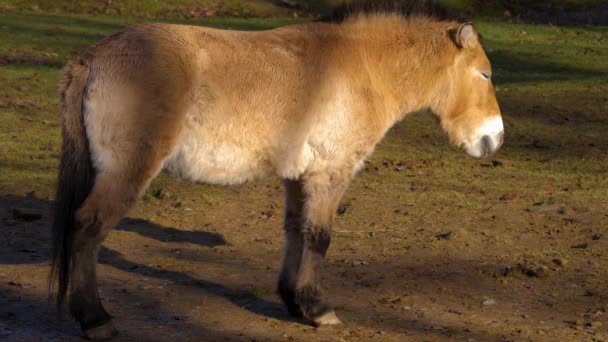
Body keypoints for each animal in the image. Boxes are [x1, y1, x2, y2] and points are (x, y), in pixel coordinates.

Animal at [48, 0, 504, 340]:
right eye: (484, 74)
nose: (494, 139)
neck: (363, 68)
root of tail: (93, 58)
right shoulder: (330, 174)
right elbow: (320, 237)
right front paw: (318, 309)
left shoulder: (297, 177)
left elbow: (295, 231)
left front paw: (293, 301)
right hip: (125, 172)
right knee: (88, 227)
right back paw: (95, 318)